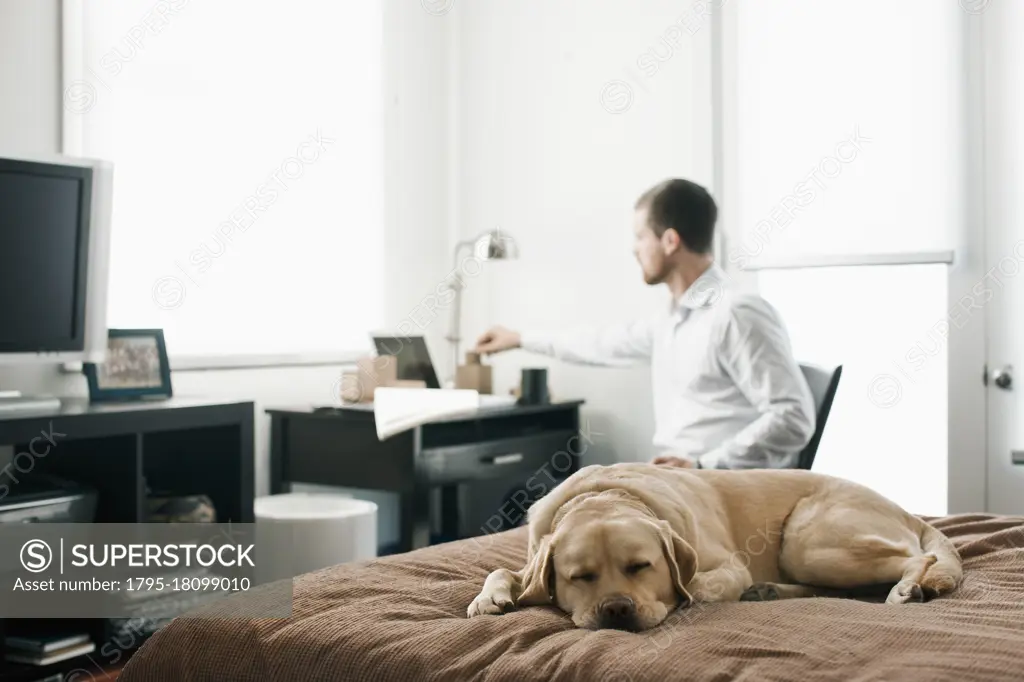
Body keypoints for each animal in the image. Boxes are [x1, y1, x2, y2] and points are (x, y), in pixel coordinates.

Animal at [468, 458, 962, 630]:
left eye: (641, 566)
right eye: (580, 577)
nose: (616, 609)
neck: (607, 495)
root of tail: (906, 511)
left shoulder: (727, 566)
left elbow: (697, 588)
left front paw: (684, 597)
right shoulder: (534, 557)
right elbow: (504, 570)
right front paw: (489, 597)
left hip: (808, 542)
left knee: (919, 557)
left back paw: (907, 588)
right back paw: (769, 591)